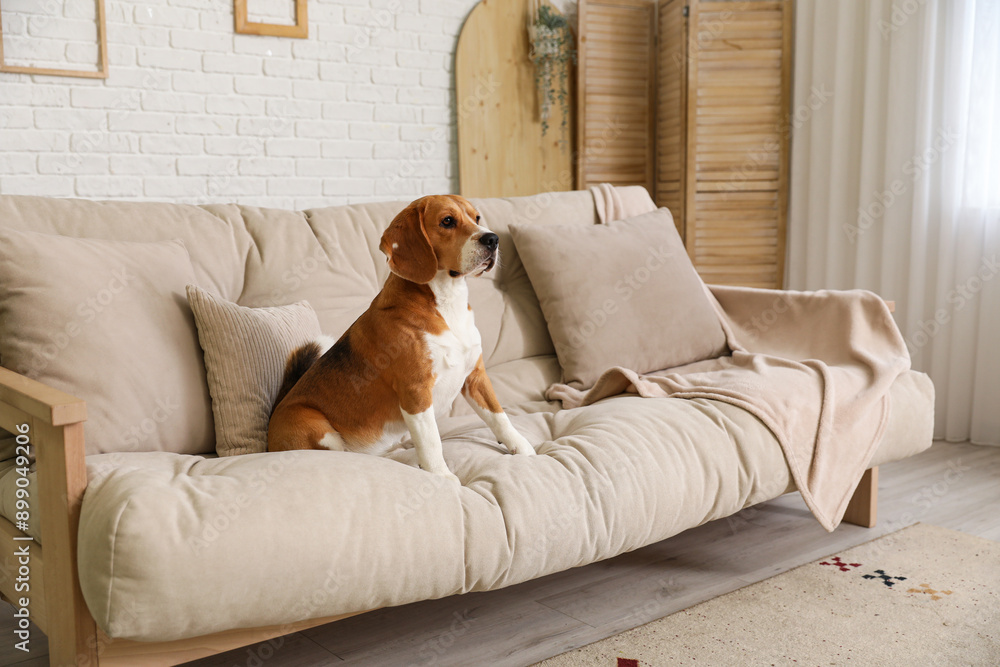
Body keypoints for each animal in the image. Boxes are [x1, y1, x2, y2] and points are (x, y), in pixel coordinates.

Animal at [264, 196, 532, 482]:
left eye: (477, 218)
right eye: (447, 221)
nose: (493, 239)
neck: (447, 301)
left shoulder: (476, 376)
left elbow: (499, 417)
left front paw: (522, 447)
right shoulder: (416, 391)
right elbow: (432, 441)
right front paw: (442, 477)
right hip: (315, 426)